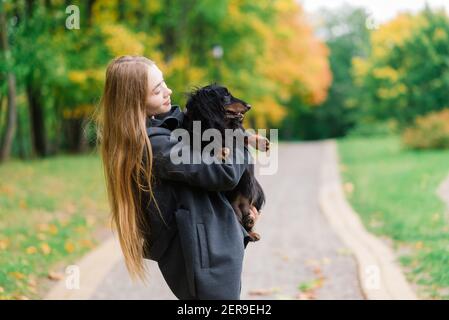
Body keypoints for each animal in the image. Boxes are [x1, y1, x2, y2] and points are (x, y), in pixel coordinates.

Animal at [182, 84, 266, 241]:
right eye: (226, 95)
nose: (249, 106)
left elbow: (242, 135)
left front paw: (261, 142)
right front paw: (220, 150)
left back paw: (251, 226)